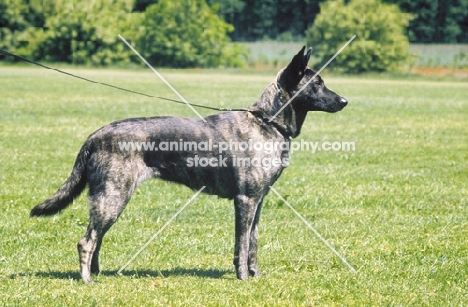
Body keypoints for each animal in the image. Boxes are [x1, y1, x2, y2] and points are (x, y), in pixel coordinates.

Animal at [30, 47, 348, 286]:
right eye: (317, 83)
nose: (345, 101)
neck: (267, 121)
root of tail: (96, 134)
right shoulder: (245, 201)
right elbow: (242, 244)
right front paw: (243, 278)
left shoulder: (258, 202)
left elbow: (254, 243)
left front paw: (255, 275)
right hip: (112, 197)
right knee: (86, 241)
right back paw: (87, 280)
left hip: (109, 201)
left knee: (96, 239)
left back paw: (97, 273)